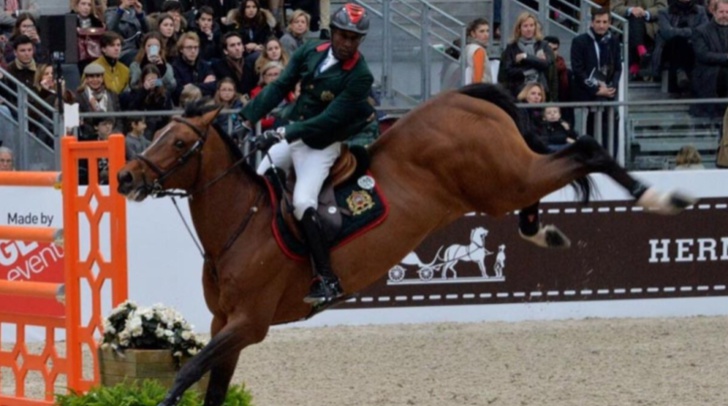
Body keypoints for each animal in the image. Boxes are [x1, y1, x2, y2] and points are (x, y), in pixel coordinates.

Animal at [115, 83, 692, 406]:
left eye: (180, 142)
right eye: (158, 132)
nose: (124, 176)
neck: (242, 223)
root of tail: (460, 97)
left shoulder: (247, 325)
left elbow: (186, 373)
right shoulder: (224, 324)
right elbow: (209, 385)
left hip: (503, 178)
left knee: (585, 147)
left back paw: (662, 196)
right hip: (502, 184)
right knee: (556, 170)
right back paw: (543, 229)